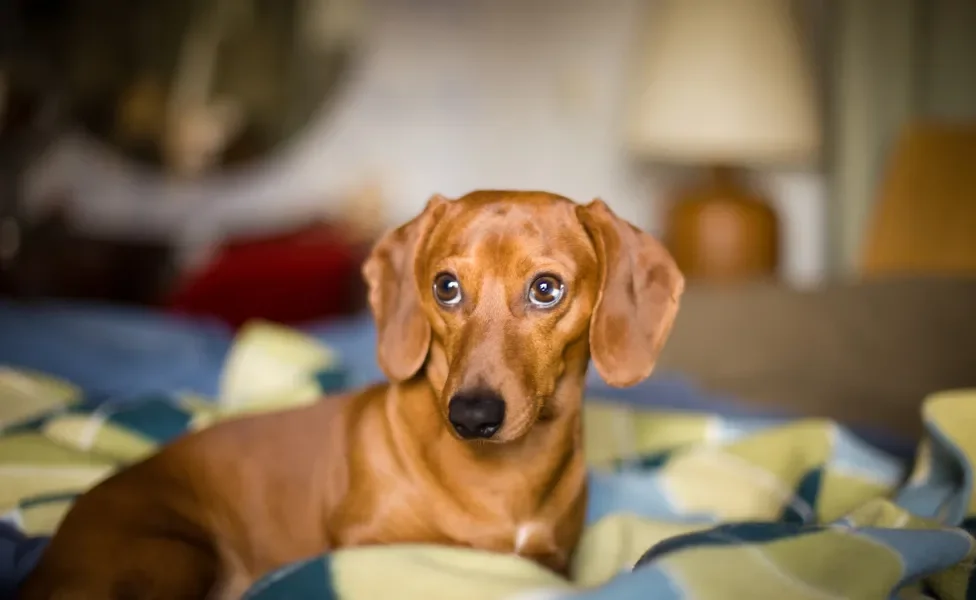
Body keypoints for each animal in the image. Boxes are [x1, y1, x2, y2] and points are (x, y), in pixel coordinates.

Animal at [17, 192, 688, 600]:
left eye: (547, 289)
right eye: (446, 287)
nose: (470, 416)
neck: (502, 480)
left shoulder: (552, 564)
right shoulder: (369, 545)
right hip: (169, 556)